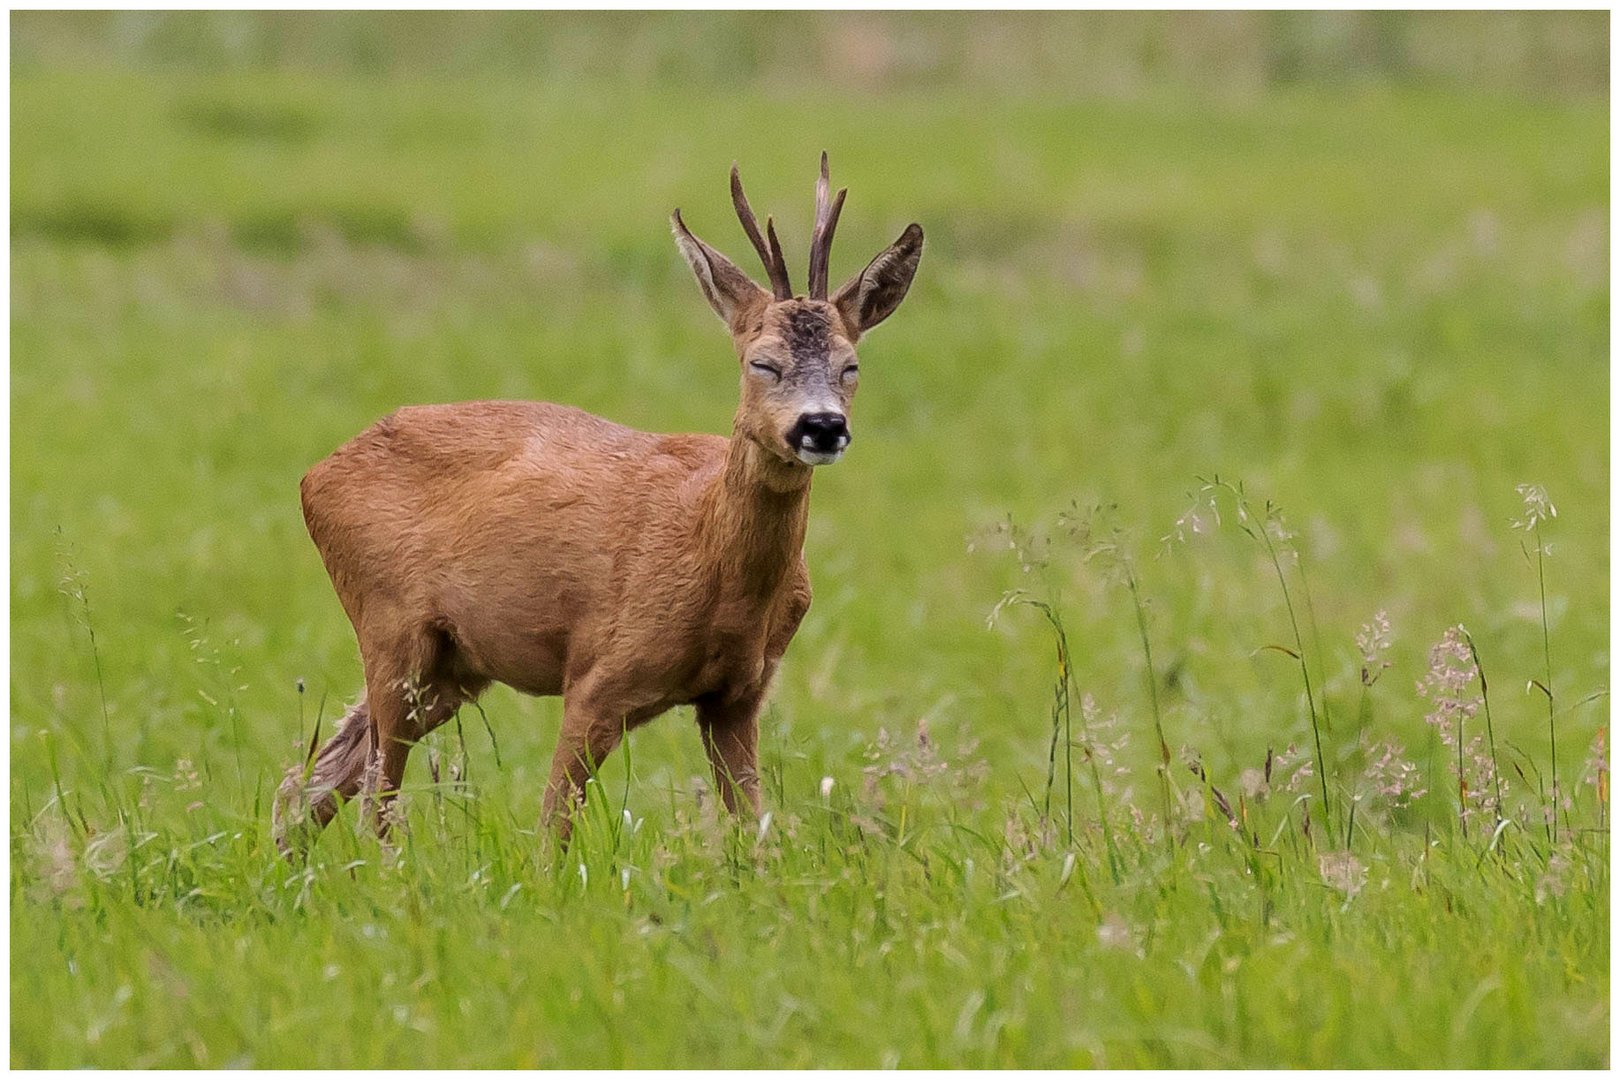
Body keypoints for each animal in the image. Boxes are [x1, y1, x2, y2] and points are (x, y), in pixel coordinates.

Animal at [272, 156, 920, 854]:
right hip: (389, 624)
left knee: (313, 776)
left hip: (454, 663)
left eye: (851, 366)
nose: (821, 426)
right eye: (762, 363)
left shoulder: (739, 694)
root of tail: (314, 475)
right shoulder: (597, 675)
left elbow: (755, 833)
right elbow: (551, 829)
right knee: (373, 796)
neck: (709, 554)